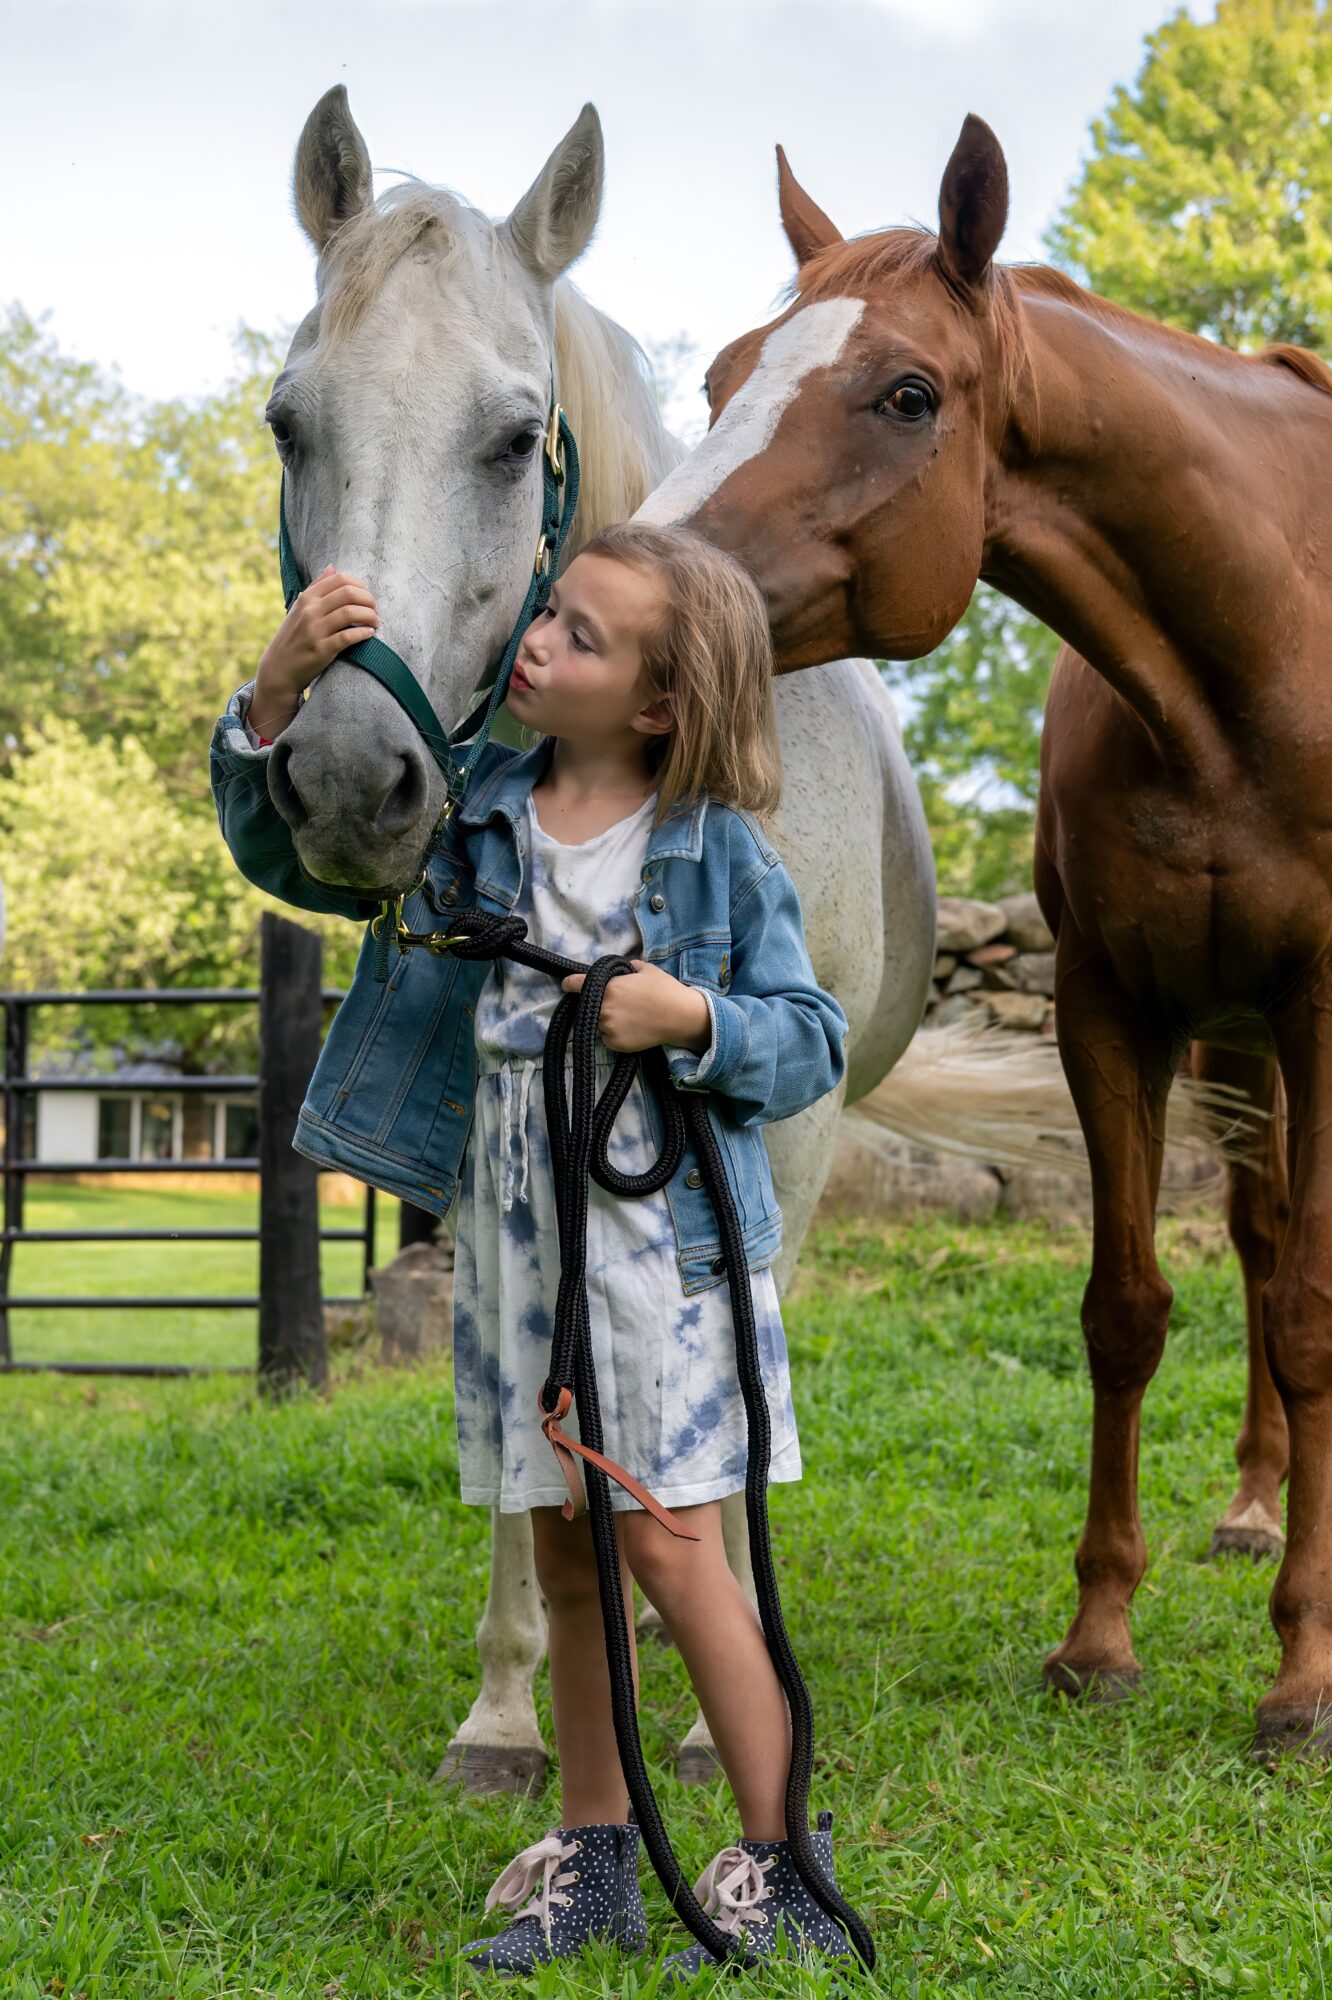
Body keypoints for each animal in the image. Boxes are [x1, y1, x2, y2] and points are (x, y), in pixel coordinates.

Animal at [635, 115, 1332, 1757]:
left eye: (908, 393)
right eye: (721, 377)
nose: (611, 595)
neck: (1260, 652)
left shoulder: (1327, 1005)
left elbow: (1316, 1320)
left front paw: (1304, 1672)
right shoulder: (1114, 1009)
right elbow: (1130, 1312)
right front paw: (1100, 1637)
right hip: (1234, 1049)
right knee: (1262, 1244)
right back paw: (1255, 1507)